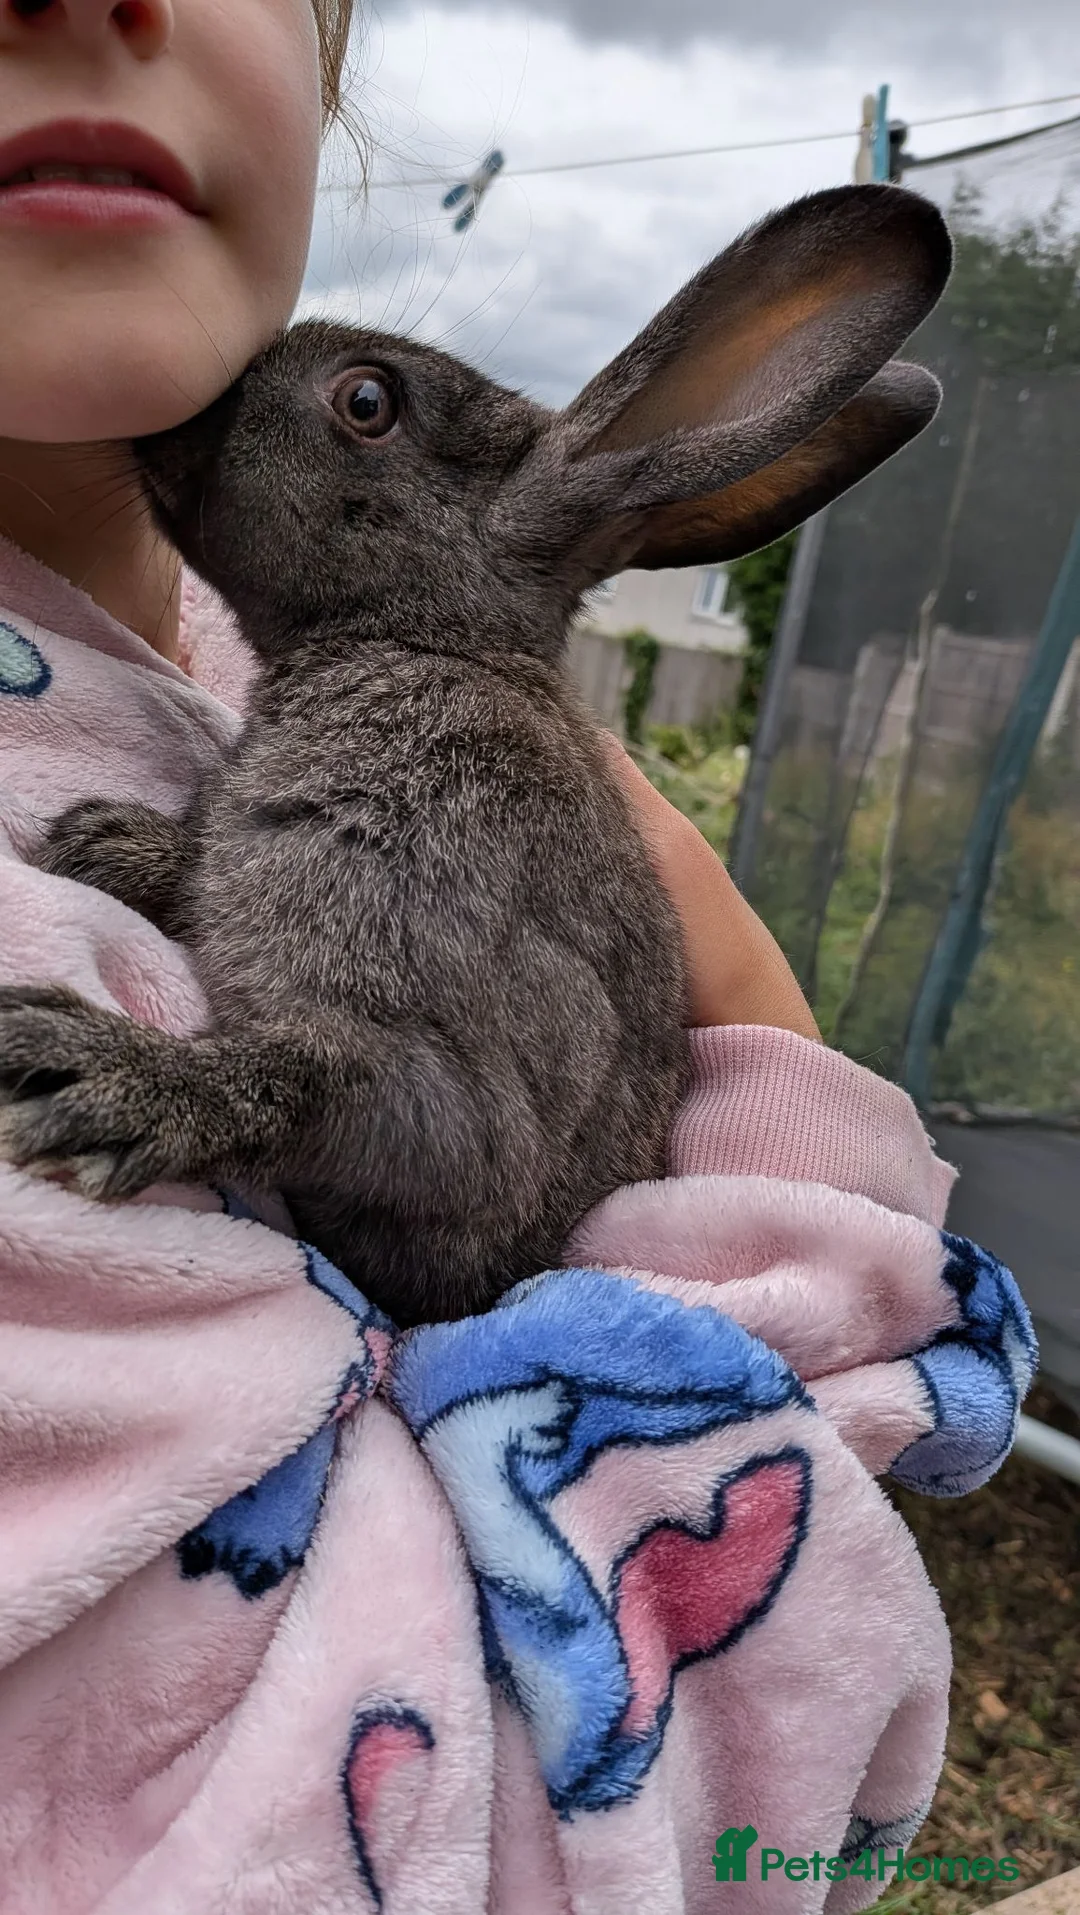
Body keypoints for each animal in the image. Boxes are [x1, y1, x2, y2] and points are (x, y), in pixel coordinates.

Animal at [0, 183, 951, 1326]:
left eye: (367, 401)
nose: (186, 411)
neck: (426, 644)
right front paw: (109, 844)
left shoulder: (451, 1066)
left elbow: (328, 1089)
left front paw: (93, 1074)